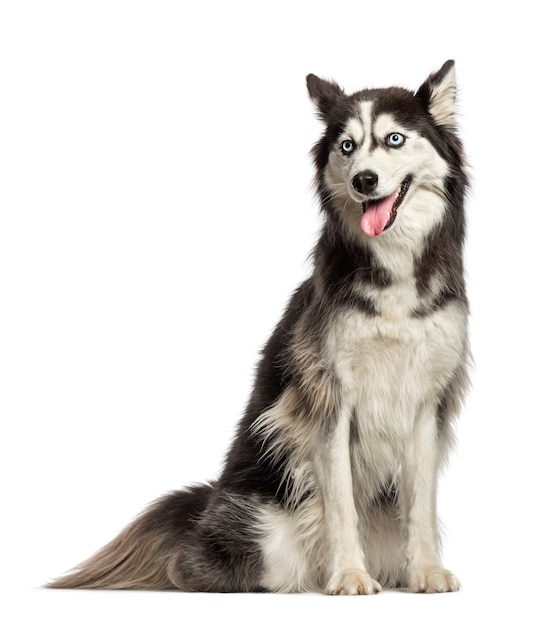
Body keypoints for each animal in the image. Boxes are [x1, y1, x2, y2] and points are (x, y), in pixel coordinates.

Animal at [47, 61, 470, 592]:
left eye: (394, 139)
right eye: (347, 146)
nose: (363, 181)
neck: (393, 270)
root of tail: (209, 502)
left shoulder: (428, 400)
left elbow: (421, 503)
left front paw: (427, 571)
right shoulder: (330, 398)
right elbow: (341, 505)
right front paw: (349, 575)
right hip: (264, 533)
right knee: (200, 567)